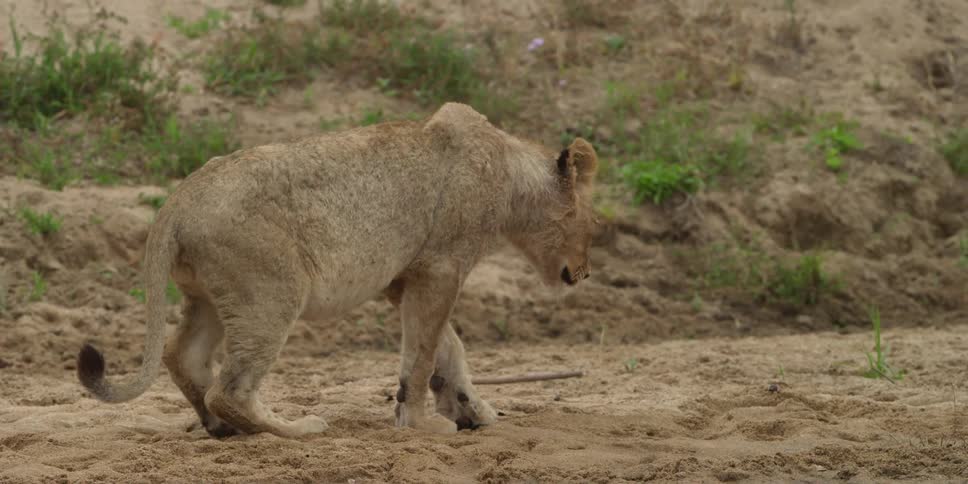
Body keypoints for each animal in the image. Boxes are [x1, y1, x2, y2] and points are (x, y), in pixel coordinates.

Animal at [76, 102, 600, 438]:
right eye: (593, 222)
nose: (586, 273)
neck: (509, 175)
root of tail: (177, 199)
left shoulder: (402, 276)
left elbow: (447, 346)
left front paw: (472, 409)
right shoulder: (439, 267)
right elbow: (424, 352)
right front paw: (422, 423)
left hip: (209, 296)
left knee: (182, 356)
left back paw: (224, 429)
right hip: (271, 294)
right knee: (229, 389)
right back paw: (295, 428)